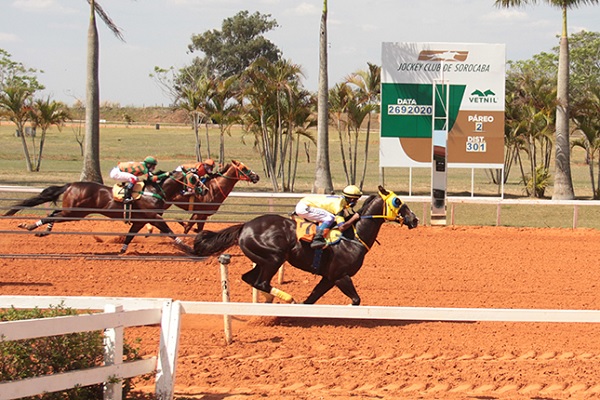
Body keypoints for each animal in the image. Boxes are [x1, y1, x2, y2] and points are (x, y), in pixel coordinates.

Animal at [2, 169, 205, 253]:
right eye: (194, 179)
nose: (203, 190)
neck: (153, 191)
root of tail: (70, 185)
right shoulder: (153, 217)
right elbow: (170, 232)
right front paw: (188, 248)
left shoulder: (140, 220)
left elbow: (130, 235)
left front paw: (122, 251)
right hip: (75, 213)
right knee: (53, 215)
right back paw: (30, 226)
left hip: (73, 212)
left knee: (52, 214)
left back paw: (43, 231)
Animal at [193, 186, 418, 304]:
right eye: (398, 202)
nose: (414, 219)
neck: (353, 237)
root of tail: (244, 226)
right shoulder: (340, 276)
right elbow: (355, 300)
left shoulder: (329, 278)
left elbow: (311, 299)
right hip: (274, 257)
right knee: (262, 282)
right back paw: (287, 298)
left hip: (262, 260)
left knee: (250, 279)